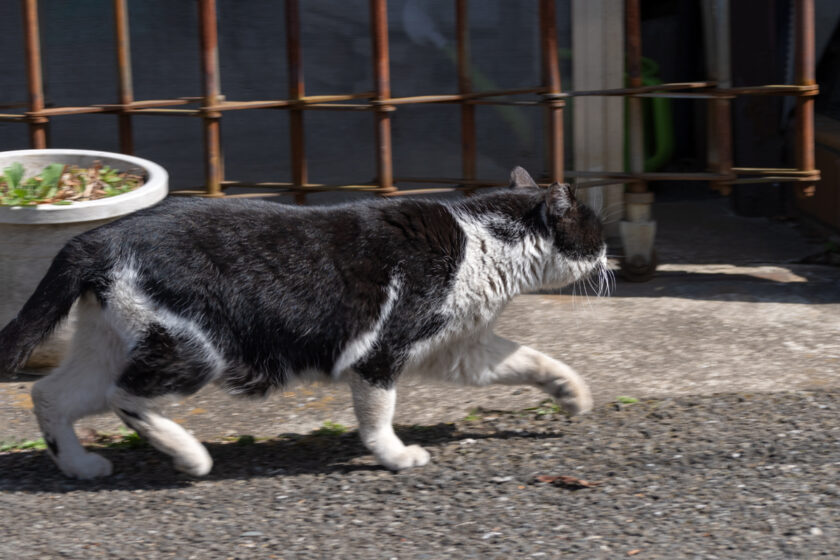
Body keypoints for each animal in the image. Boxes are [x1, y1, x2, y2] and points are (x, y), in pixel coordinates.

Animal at [0, 166, 608, 476]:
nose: (612, 260)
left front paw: (573, 393)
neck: (482, 243)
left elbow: (529, 358)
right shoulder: (381, 353)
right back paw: (190, 456)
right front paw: (395, 456)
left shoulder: (456, 349)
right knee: (127, 397)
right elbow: (377, 415)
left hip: (108, 341)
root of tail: (100, 236)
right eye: (596, 234)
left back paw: (80, 465)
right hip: (194, 349)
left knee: (52, 395)